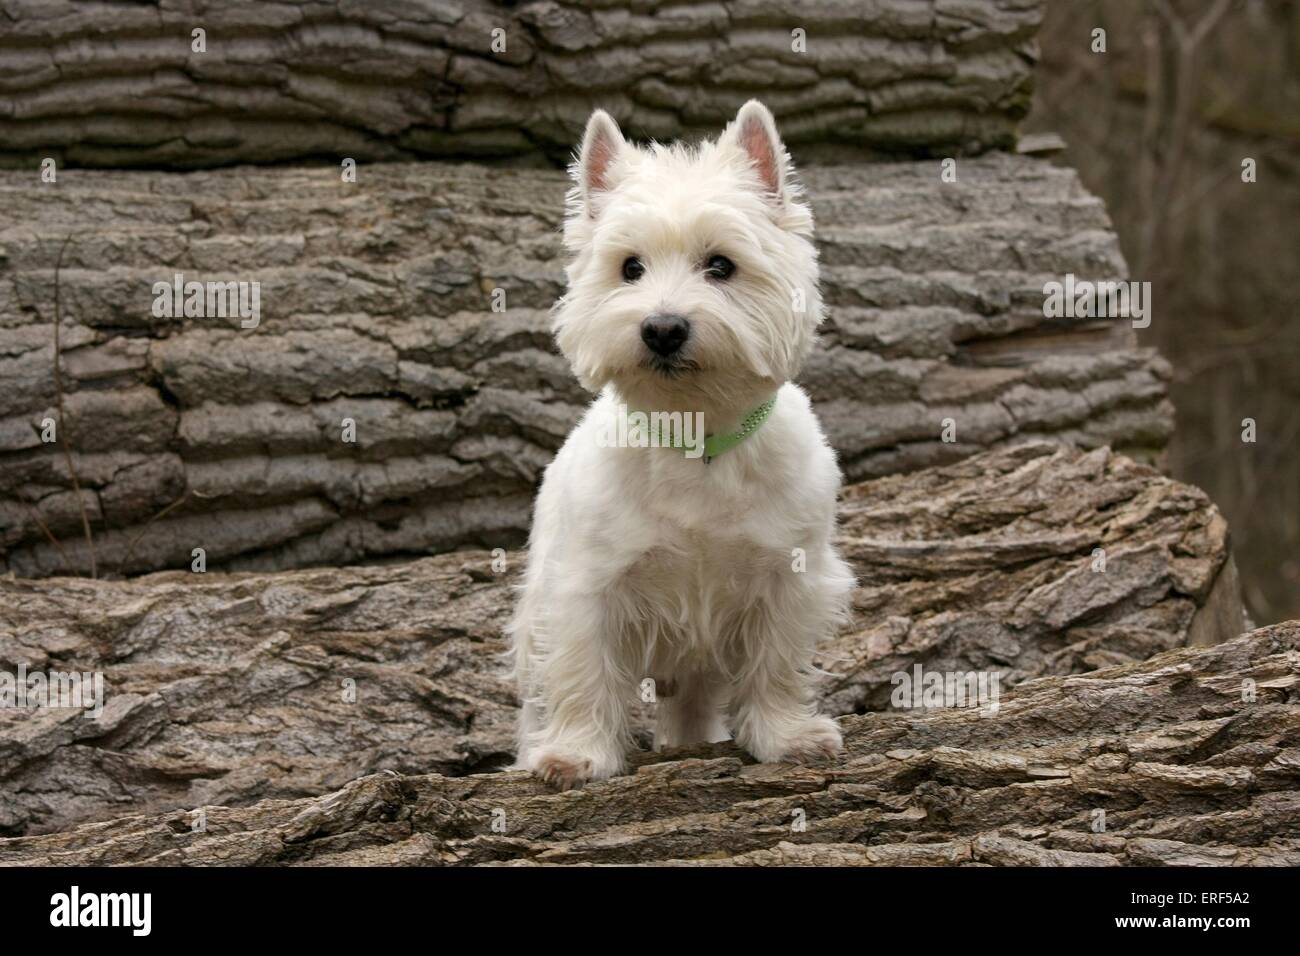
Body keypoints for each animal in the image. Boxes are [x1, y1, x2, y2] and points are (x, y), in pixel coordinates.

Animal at [506, 100, 852, 790]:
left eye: (720, 265)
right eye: (629, 268)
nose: (662, 328)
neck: (696, 436)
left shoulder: (790, 578)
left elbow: (776, 664)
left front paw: (787, 737)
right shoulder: (586, 586)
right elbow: (583, 671)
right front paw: (577, 754)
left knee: (693, 698)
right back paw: (538, 749)